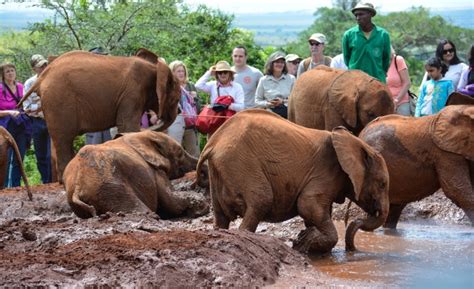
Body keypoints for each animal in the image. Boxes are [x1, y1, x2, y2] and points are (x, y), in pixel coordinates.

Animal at [19, 48, 181, 181]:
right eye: (176, 99)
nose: (179, 111)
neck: (155, 68)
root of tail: (42, 77)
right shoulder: (132, 93)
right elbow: (128, 126)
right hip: (59, 100)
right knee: (63, 139)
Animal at [63, 130, 209, 218]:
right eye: (180, 154)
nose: (196, 183)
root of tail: (77, 188)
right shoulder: (155, 170)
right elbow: (171, 201)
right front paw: (201, 208)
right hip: (109, 187)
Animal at [195, 108, 388, 252]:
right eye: (382, 184)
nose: (352, 250)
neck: (356, 142)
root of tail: (213, 142)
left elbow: (315, 213)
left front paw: (307, 242)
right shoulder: (326, 172)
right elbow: (307, 206)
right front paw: (304, 243)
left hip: (219, 171)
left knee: (221, 217)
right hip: (240, 163)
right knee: (261, 200)